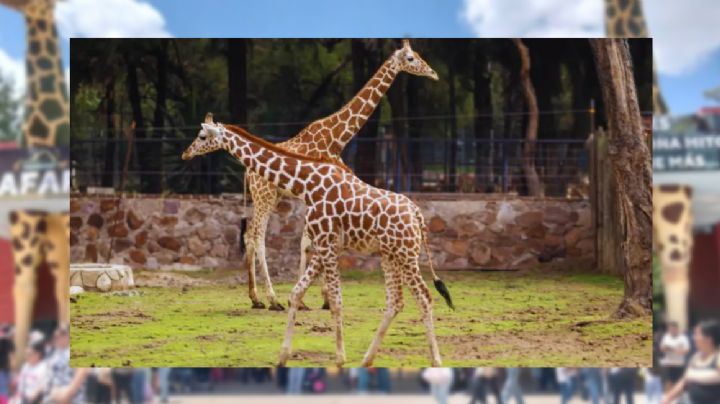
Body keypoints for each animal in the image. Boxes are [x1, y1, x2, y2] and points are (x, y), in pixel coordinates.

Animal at [182, 116, 454, 367]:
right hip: (389, 255)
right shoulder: (324, 246)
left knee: (424, 297)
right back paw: (367, 360)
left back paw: (436, 361)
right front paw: (283, 356)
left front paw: (340, 358)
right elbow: (296, 294)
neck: (305, 184)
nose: (186, 153)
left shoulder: (327, 244)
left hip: (406, 254)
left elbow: (335, 300)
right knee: (395, 301)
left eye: (202, 136)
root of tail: (417, 215)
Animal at [244, 39, 438, 311]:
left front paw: (313, 298)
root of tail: (247, 172)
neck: (336, 138)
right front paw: (317, 297)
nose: (433, 73)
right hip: (266, 196)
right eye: (410, 58)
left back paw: (255, 298)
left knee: (248, 235)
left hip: (264, 197)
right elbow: (310, 243)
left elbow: (308, 243)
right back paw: (272, 299)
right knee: (258, 238)